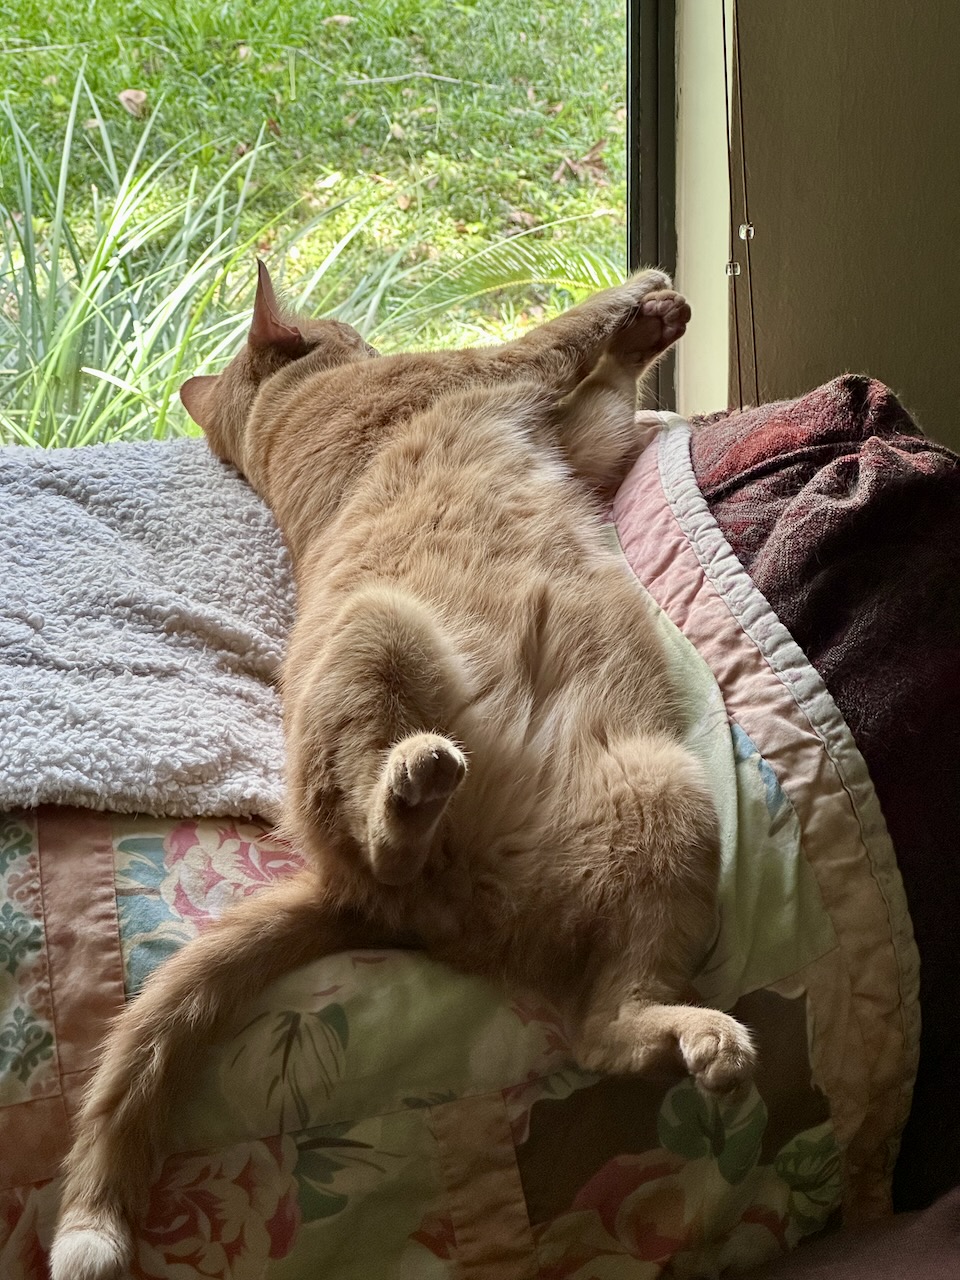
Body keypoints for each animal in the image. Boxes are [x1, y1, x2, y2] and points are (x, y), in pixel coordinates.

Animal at [51, 263, 755, 1280]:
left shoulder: (584, 440)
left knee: (605, 1028)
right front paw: (648, 295)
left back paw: (698, 1037)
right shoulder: (500, 373)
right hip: (380, 633)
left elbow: (615, 398)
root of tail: (363, 899)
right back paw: (413, 787)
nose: (351, 327)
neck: (281, 422)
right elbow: (572, 331)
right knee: (388, 837)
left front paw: (652, 324)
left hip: (668, 798)